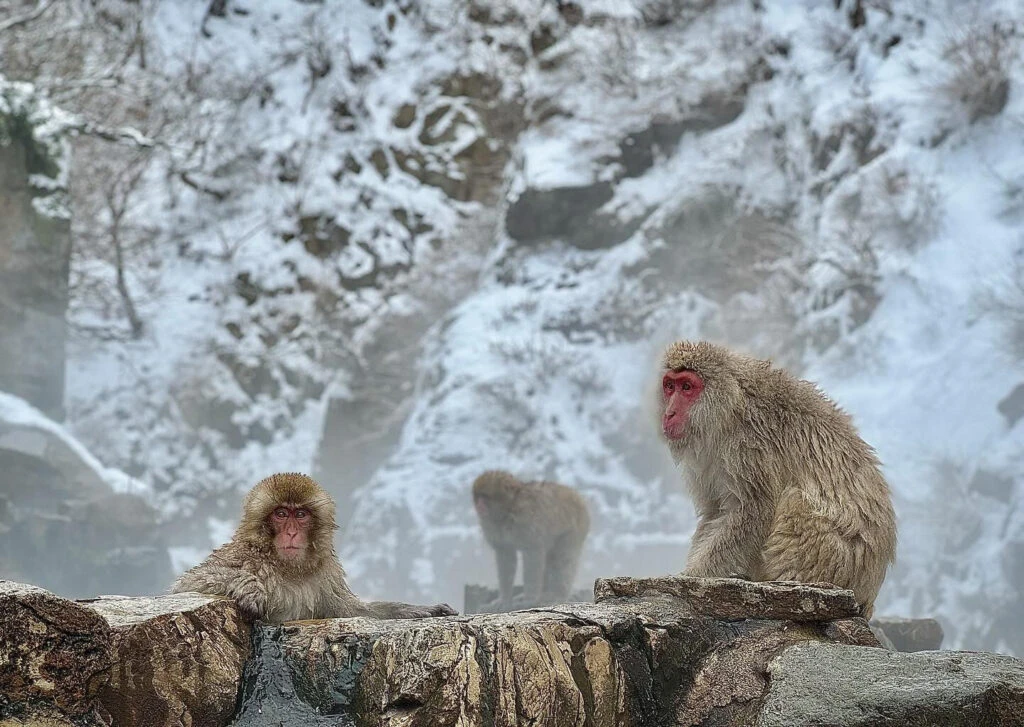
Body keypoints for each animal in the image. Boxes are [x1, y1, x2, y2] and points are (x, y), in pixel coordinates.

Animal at [171, 473, 456, 623]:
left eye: (301, 515)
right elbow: (189, 583)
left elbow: (348, 611)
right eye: (281, 514)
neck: (287, 567)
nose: (291, 532)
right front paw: (248, 585)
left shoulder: (325, 575)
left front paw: (419, 609)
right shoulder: (244, 555)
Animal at [472, 470, 590, 610]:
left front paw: (529, 599)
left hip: (574, 529)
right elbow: (506, 558)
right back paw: (544, 594)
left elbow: (533, 556)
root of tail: (576, 496)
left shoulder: (526, 520)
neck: (507, 510)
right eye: (478, 496)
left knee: (563, 559)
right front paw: (504, 600)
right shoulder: (493, 528)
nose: (479, 506)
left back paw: (558, 596)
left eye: (485, 497)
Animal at [656, 341, 897, 618]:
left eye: (687, 387)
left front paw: (692, 575)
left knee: (796, 502)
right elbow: (715, 511)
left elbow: (753, 510)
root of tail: (869, 595)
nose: (669, 413)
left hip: (836, 562)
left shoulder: (748, 446)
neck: (732, 407)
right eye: (670, 386)